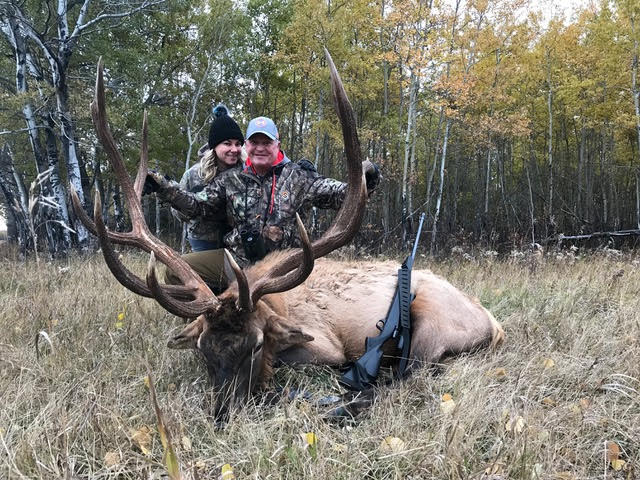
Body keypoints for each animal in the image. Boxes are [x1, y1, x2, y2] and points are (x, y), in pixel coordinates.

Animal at [71, 51, 504, 420]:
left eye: (257, 344)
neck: (275, 305)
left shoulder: (324, 344)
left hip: (430, 332)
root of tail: (493, 323)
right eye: (202, 349)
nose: (224, 413)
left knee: (413, 373)